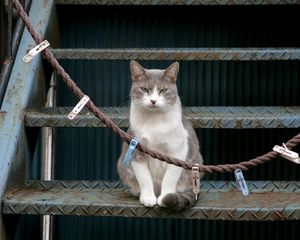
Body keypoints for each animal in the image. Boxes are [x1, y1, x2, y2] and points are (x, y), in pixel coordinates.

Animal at [117, 60, 204, 210]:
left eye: (163, 90)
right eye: (144, 89)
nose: (153, 101)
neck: (154, 120)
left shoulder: (177, 152)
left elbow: (170, 178)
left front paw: (165, 198)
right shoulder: (136, 150)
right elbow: (144, 178)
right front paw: (148, 198)